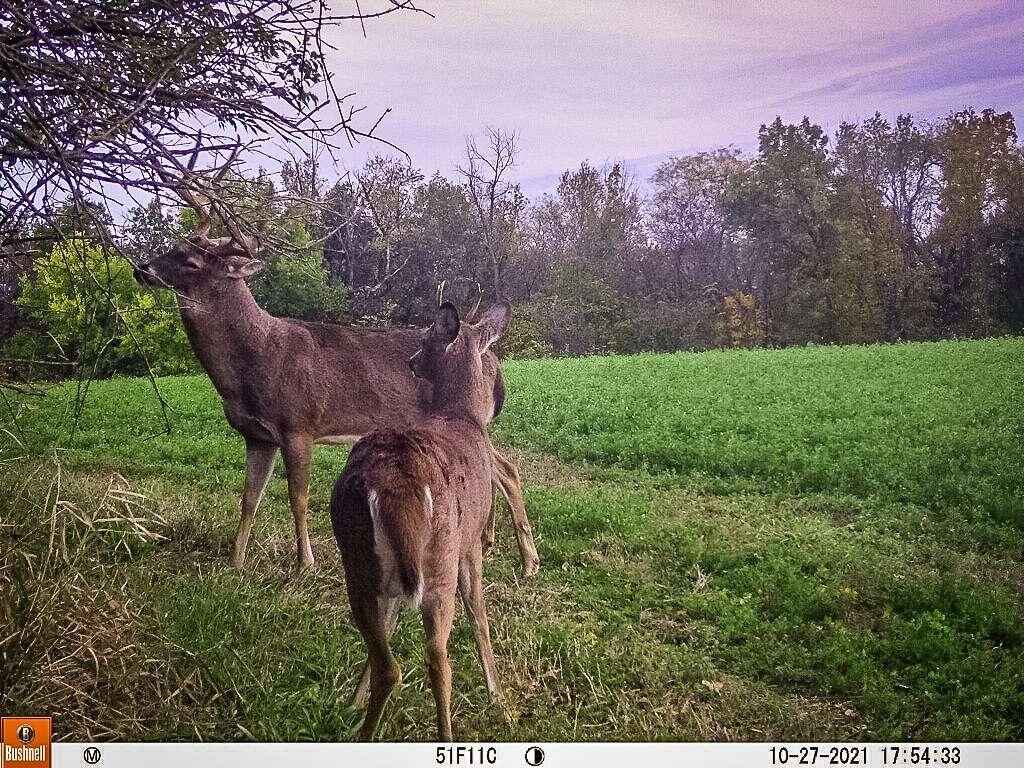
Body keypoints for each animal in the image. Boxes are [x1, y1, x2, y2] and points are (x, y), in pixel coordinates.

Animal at [132, 154, 540, 577]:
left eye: (192, 262)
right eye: (174, 245)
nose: (141, 269)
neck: (254, 360)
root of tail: (491, 359)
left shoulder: (299, 424)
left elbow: (298, 497)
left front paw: (304, 564)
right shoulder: (257, 435)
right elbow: (248, 498)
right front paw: (236, 562)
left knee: (507, 470)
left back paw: (528, 561)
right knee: (496, 471)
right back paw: (491, 543)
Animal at [331, 299, 512, 741]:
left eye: (425, 340)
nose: (411, 362)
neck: (462, 415)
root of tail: (397, 485)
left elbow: (392, 623)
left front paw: (354, 697)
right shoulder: (471, 543)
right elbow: (479, 615)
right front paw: (497, 695)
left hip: (359, 564)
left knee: (388, 663)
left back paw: (362, 725)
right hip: (439, 564)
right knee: (439, 660)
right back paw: (445, 734)